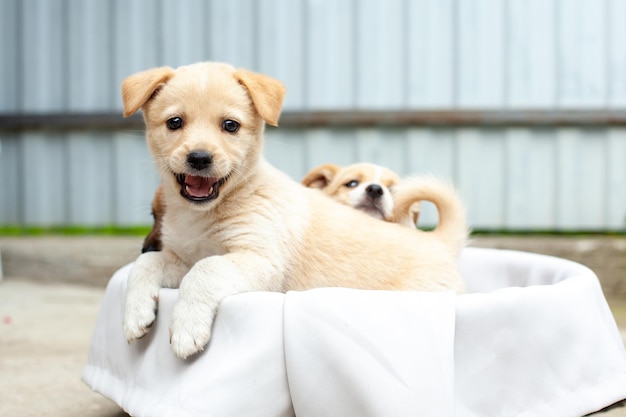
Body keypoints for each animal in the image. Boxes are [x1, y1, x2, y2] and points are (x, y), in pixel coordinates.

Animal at [120, 61, 464, 358]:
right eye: (174, 123)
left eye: (230, 125)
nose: (200, 158)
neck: (203, 214)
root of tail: (435, 241)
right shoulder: (183, 257)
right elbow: (147, 263)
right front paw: (134, 314)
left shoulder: (261, 261)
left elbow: (206, 270)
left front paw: (186, 329)